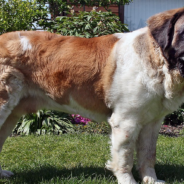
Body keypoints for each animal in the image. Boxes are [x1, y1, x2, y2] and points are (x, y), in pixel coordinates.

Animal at [0, 7, 184, 184]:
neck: (157, 60)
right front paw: (128, 181)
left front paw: (152, 180)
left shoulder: (152, 122)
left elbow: (148, 154)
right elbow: (125, 157)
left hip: (11, 115)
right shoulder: (126, 122)